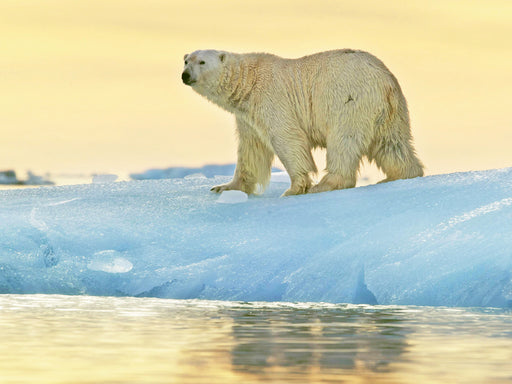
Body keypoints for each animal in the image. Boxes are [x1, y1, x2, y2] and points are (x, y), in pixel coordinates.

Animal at [182, 48, 422, 195]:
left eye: (202, 61)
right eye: (185, 60)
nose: (185, 75)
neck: (248, 83)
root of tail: (386, 80)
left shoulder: (272, 100)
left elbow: (287, 138)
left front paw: (295, 188)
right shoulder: (247, 117)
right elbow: (251, 151)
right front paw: (225, 187)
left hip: (348, 102)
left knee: (343, 142)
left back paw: (326, 184)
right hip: (390, 112)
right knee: (392, 145)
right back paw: (400, 175)